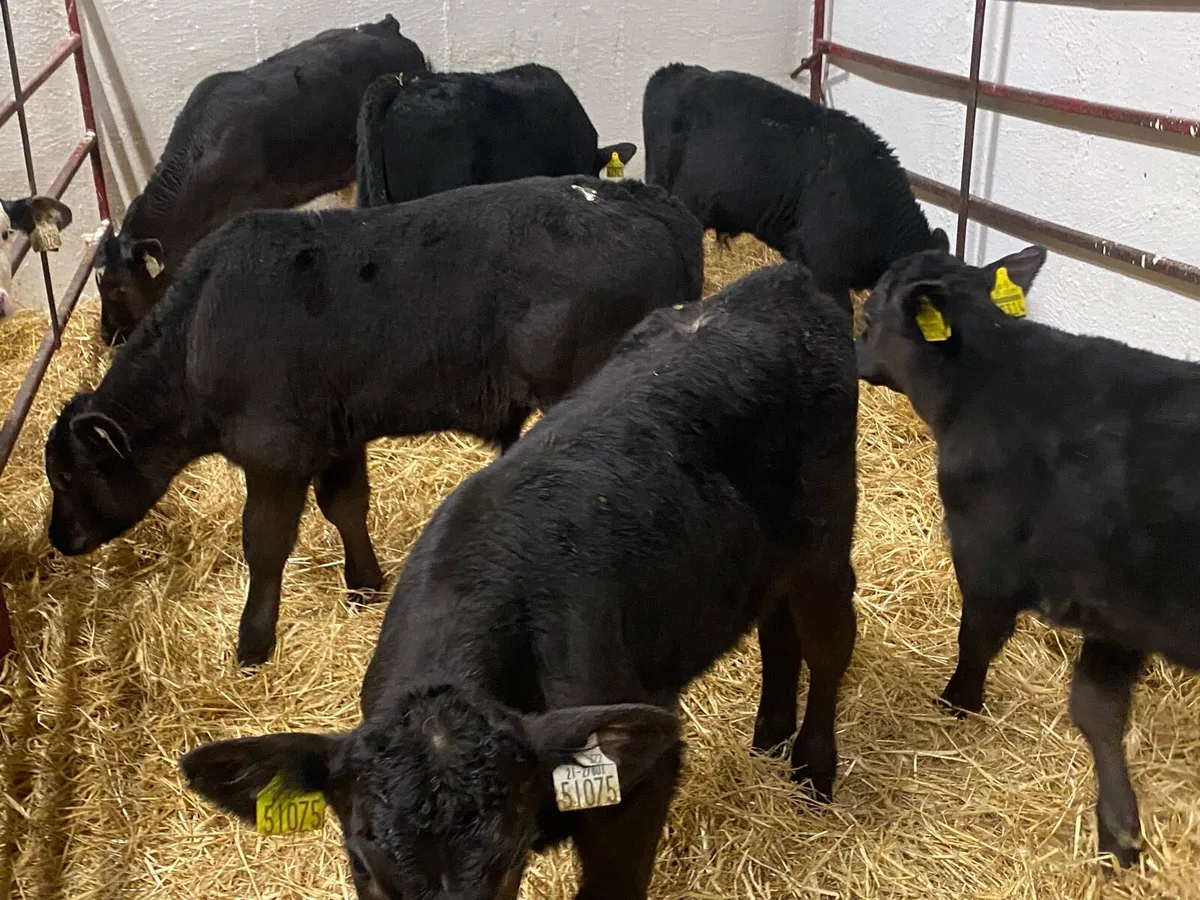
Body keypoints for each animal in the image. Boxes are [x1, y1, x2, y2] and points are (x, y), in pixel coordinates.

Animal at [45, 175, 703, 667]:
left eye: (68, 477)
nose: (59, 538)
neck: (198, 335)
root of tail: (648, 202)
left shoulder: (273, 455)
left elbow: (265, 542)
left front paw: (253, 641)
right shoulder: (338, 437)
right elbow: (346, 505)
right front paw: (364, 584)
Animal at [178, 261, 859, 900]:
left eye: (509, 858)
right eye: (364, 866)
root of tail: (780, 280)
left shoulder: (642, 784)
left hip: (825, 548)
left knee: (829, 646)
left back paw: (812, 771)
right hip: (763, 565)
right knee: (777, 631)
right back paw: (769, 734)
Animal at [855, 243, 1200, 868]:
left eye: (868, 314)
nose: (849, 353)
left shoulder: (985, 561)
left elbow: (977, 640)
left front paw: (959, 701)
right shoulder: (1117, 609)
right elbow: (1097, 708)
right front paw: (1119, 831)